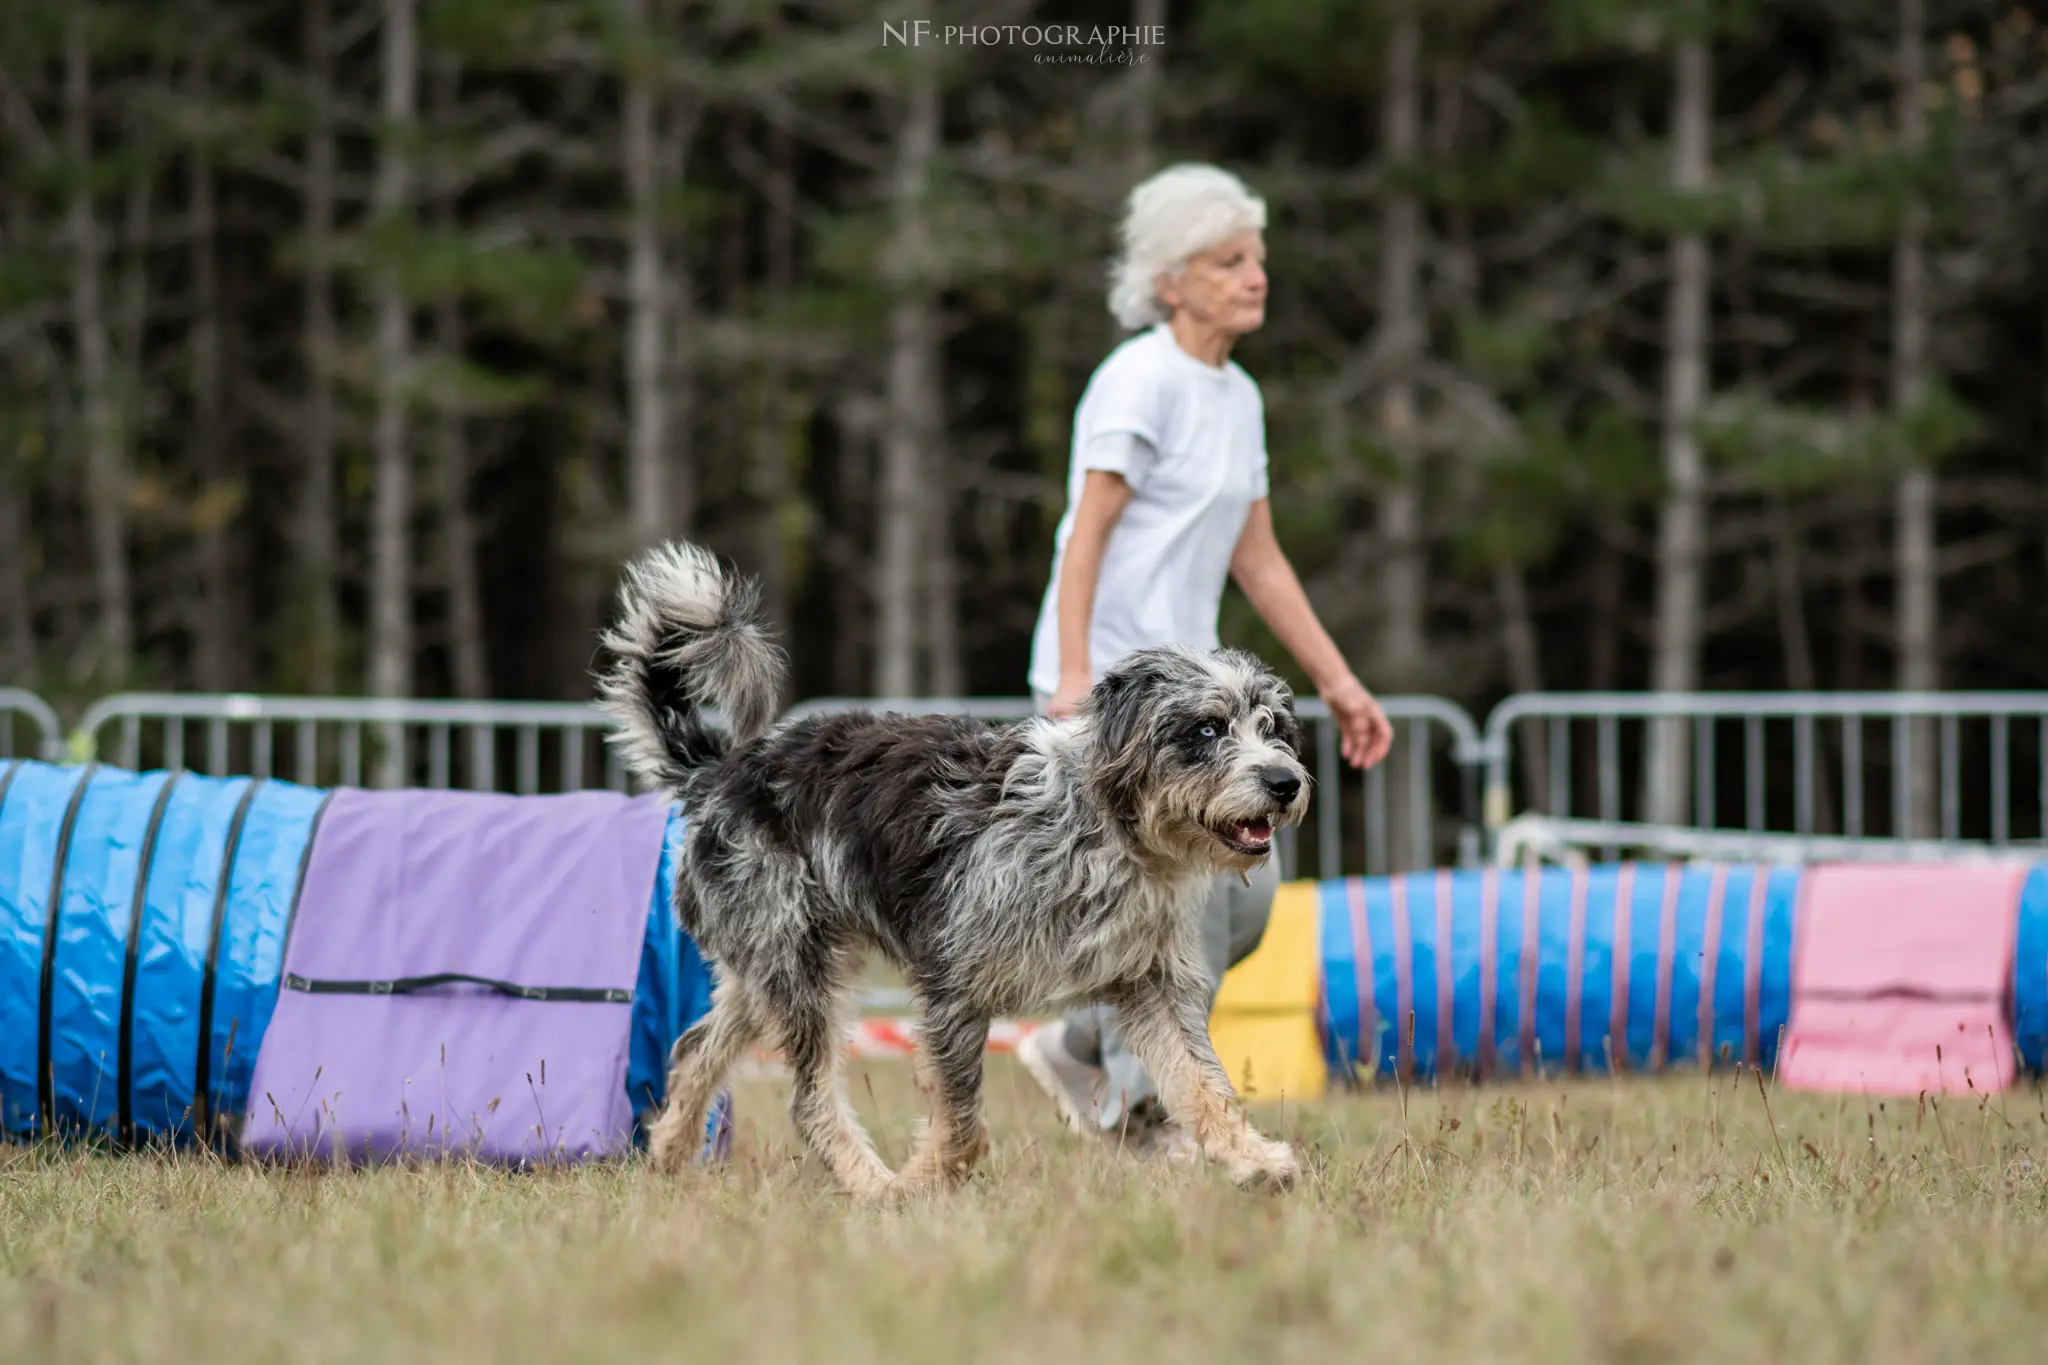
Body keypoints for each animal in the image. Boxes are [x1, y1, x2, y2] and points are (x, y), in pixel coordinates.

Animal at [593, 540, 1310, 1195]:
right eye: (1207, 729)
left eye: (1272, 726)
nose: (1286, 782)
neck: (1101, 831)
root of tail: (716, 772)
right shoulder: (953, 980)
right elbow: (963, 1119)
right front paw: (923, 1184)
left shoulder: (1149, 982)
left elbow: (1200, 1081)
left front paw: (1256, 1160)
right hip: (799, 971)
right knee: (807, 1099)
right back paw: (872, 1185)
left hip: (771, 968)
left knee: (694, 1051)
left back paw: (667, 1157)